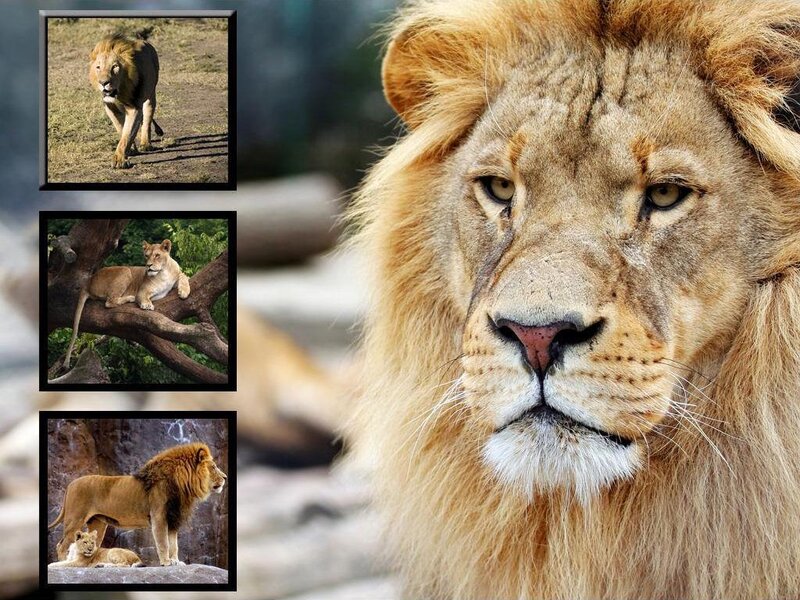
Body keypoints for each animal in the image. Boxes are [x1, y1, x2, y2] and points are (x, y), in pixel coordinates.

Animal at [48, 442, 226, 566]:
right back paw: (63, 563)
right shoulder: (159, 516)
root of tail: (70, 484)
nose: (225, 477)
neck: (182, 485)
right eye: (213, 467)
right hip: (75, 519)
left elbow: (174, 544)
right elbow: (163, 543)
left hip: (97, 522)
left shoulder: (173, 518)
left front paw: (176, 561)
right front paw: (166, 562)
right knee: (61, 545)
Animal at [63, 238, 190, 368]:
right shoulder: (142, 290)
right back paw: (130, 298)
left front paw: (184, 291)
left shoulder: (177, 275)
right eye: (146, 256)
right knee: (109, 302)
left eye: (157, 255)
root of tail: (88, 282)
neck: (163, 272)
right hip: (125, 270)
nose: (148, 266)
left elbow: (184, 276)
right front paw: (147, 304)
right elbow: (143, 297)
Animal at [89, 33, 163, 169]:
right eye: (98, 67)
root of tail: (144, 41)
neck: (119, 92)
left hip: (150, 94)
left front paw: (119, 160)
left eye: (115, 67)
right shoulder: (110, 107)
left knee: (147, 119)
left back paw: (146, 143)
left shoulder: (134, 107)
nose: (103, 83)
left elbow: (127, 133)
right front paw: (131, 149)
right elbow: (121, 128)